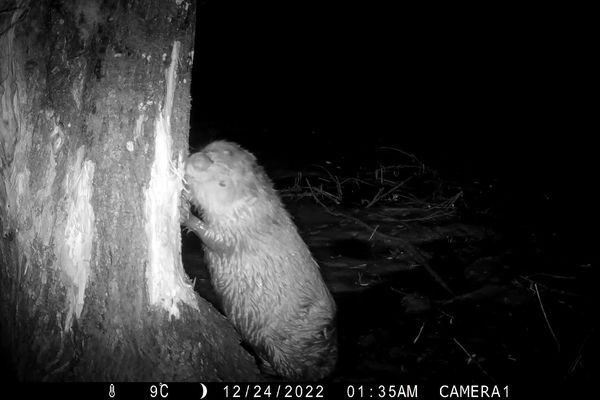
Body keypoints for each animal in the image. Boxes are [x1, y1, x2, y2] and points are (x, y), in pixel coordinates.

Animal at [180, 141, 340, 382]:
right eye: (214, 150)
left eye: (222, 183)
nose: (197, 160)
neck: (261, 212)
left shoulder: (242, 230)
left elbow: (216, 239)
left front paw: (185, 212)